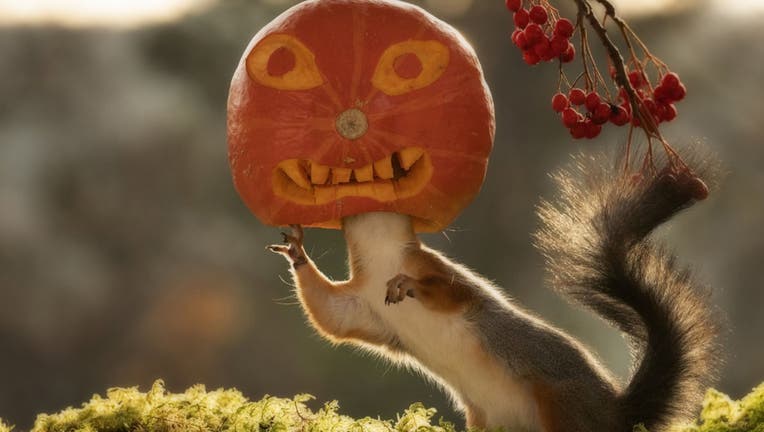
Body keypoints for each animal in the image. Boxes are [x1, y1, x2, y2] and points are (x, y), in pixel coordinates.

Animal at [268, 152, 721, 432]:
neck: (381, 258)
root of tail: (615, 412)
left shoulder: (442, 272)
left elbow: (450, 293)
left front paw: (407, 285)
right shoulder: (364, 307)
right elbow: (333, 316)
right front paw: (296, 251)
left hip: (564, 408)